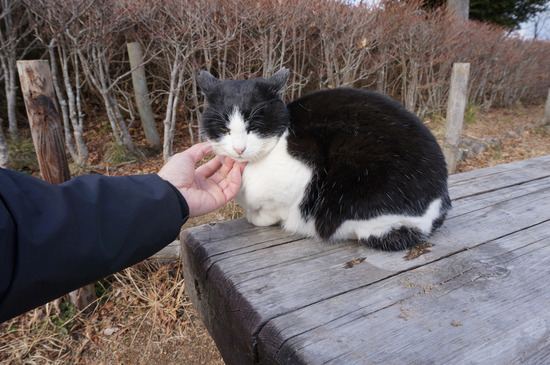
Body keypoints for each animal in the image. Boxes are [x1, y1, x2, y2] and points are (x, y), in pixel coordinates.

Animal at [198, 68, 452, 250]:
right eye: (224, 128)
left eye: (254, 126)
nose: (239, 149)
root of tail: (441, 200)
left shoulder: (301, 175)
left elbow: (271, 212)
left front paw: (257, 216)